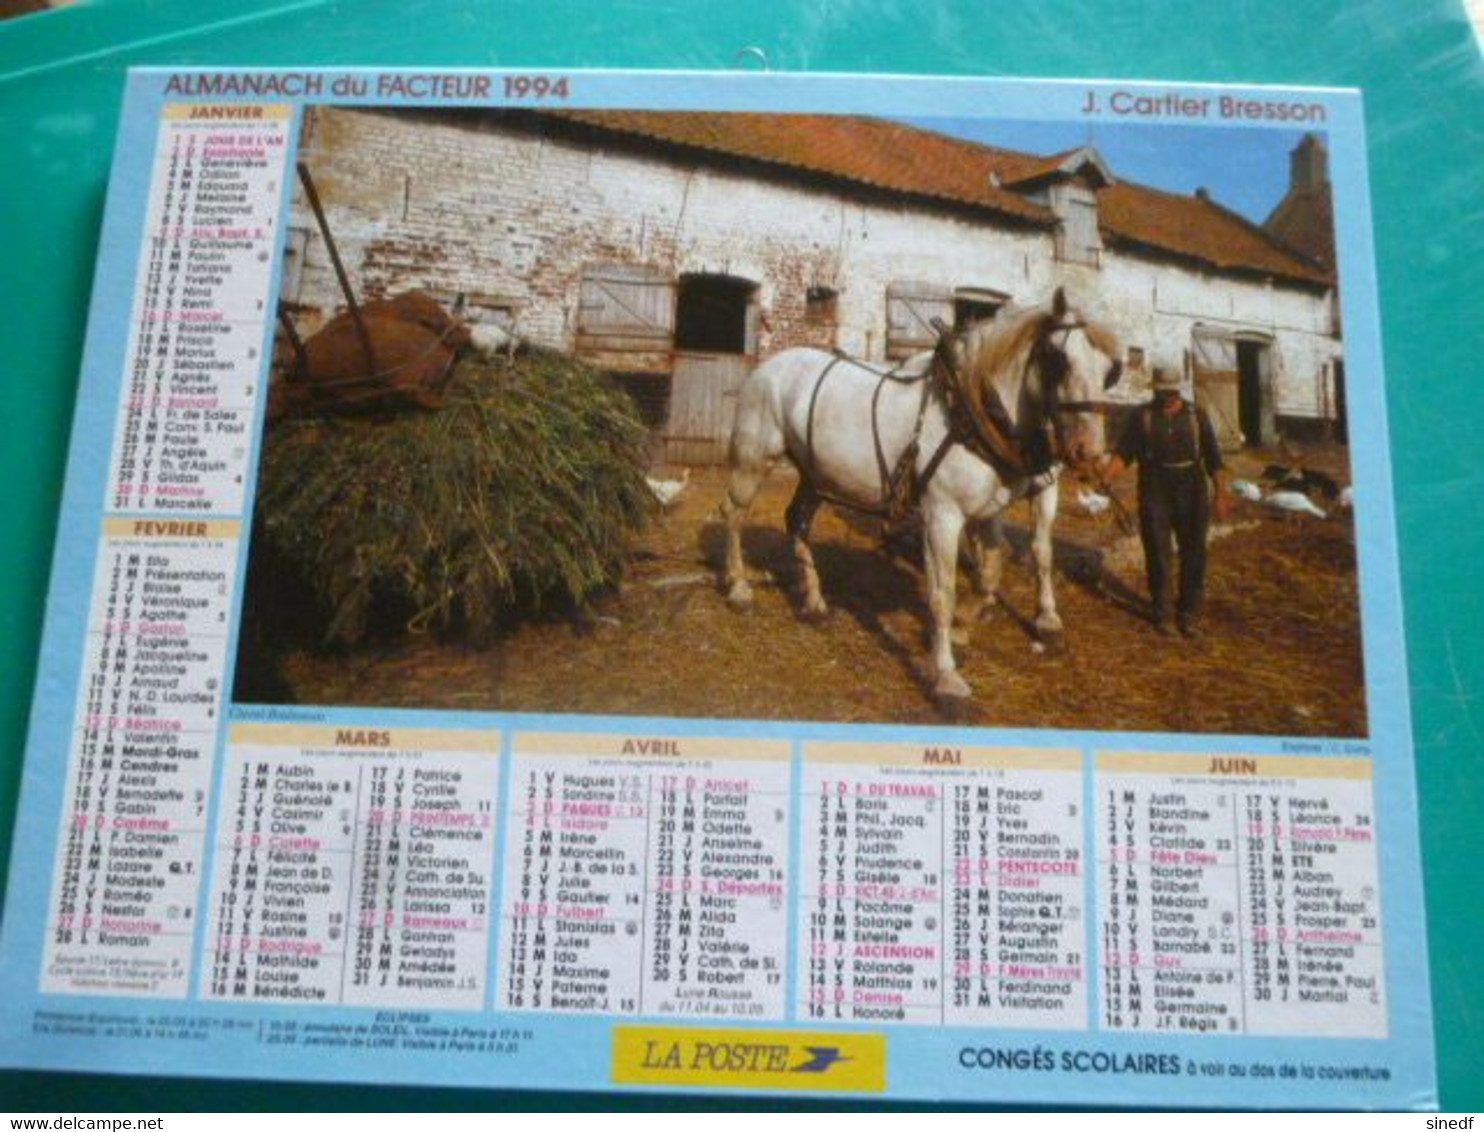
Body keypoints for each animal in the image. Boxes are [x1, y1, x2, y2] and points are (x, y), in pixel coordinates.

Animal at [721, 284, 1121, 700]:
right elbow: (943, 593)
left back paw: (814, 600)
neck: (971, 409)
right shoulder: (942, 515)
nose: (1089, 450)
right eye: (1059, 358)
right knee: (734, 513)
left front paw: (966, 624)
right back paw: (738, 588)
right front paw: (946, 674)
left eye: (1110, 370)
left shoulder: (987, 510)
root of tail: (769, 366)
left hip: (817, 473)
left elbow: (994, 570)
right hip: (754, 459)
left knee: (797, 520)